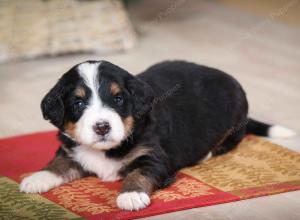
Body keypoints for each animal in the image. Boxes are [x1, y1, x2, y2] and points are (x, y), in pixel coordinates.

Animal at [19, 59, 296, 210]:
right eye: (78, 103)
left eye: (118, 98)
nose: (102, 127)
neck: (107, 148)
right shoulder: (72, 149)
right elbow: (59, 162)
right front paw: (36, 178)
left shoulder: (153, 156)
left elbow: (139, 173)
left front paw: (130, 195)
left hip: (234, 118)